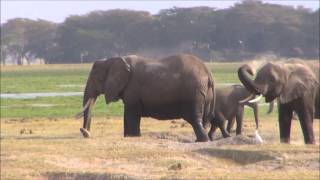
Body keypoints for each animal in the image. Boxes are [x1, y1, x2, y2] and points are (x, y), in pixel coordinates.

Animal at [77, 53, 215, 142]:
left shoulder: (133, 88)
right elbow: (128, 114)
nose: (85, 133)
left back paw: (202, 141)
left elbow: (131, 113)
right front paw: (128, 137)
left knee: (194, 119)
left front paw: (133, 137)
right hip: (205, 95)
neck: (113, 60)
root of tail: (208, 72)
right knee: (203, 119)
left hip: (194, 93)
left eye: (96, 78)